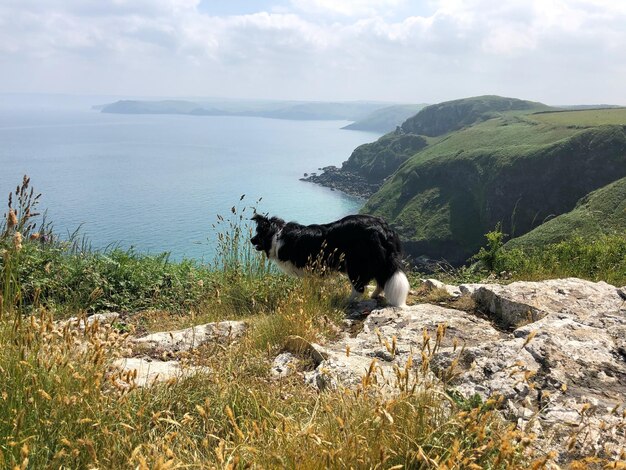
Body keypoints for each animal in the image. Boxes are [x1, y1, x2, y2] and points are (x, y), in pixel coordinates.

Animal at [250, 214, 410, 308]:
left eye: (258, 233)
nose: (251, 240)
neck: (277, 235)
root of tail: (383, 229)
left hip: (355, 264)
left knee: (359, 288)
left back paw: (347, 301)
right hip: (378, 262)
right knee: (381, 281)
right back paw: (373, 295)